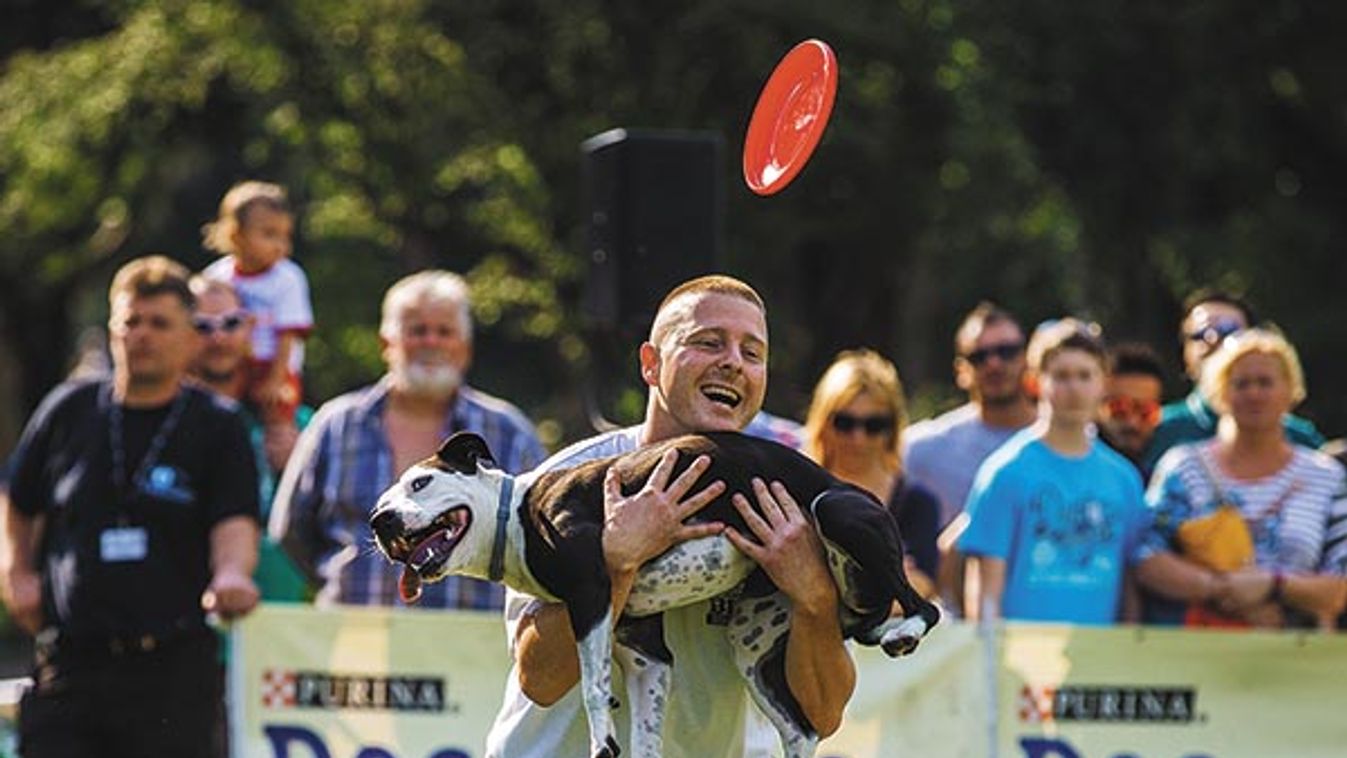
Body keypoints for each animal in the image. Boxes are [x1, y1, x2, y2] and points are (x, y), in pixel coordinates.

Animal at [369, 433, 937, 758]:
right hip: (754, 653)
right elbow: (640, 726)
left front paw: (601, 742)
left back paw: (906, 629)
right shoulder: (644, 651)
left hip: (836, 510)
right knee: (802, 730)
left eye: (421, 483)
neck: (518, 516)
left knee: (923, 606)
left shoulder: (593, 596)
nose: (379, 522)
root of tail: (856, 488)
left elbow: (593, 687)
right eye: (381, 501)